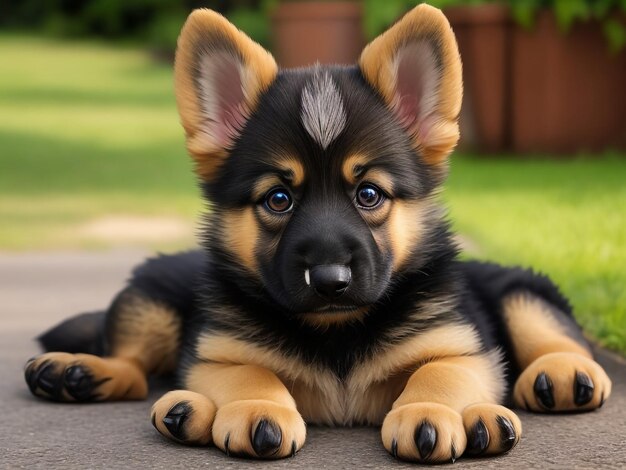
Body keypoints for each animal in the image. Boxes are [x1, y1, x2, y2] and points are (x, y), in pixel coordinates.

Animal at [25, 4, 608, 462]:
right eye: (278, 199)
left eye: (368, 194)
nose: (330, 280)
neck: (336, 332)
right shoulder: (218, 352)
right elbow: (252, 373)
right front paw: (258, 408)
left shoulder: (462, 348)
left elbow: (437, 374)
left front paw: (428, 412)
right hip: (148, 299)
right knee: (130, 363)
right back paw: (87, 373)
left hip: (520, 290)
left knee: (556, 335)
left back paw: (562, 375)